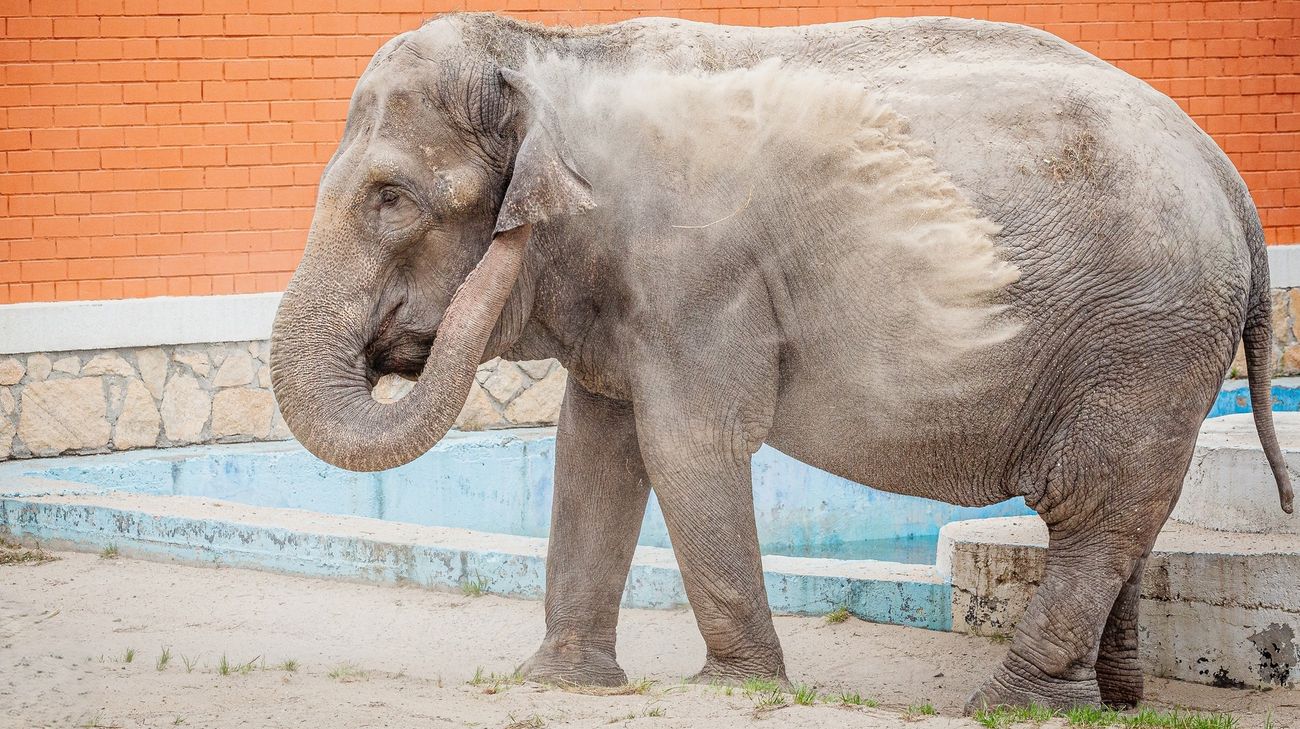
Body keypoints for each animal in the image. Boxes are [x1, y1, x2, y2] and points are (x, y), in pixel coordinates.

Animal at [269, 12, 1295, 711]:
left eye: (392, 198)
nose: (502, 244)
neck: (555, 52)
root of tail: (1230, 179)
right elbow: (593, 450)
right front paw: (561, 685)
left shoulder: (697, 276)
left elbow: (686, 445)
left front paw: (733, 690)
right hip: (1151, 350)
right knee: (1126, 515)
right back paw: (1106, 704)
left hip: (1144, 339)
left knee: (1095, 512)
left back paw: (1006, 706)